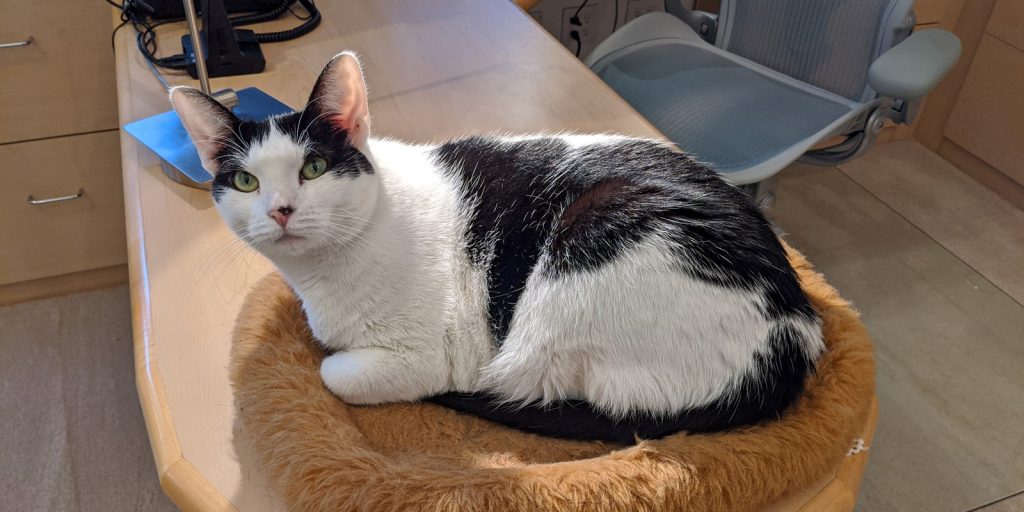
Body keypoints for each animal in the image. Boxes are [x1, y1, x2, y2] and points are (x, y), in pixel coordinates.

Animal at [167, 52, 823, 444]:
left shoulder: (422, 356)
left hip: (579, 265)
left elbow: (334, 370)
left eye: (314, 167)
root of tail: (795, 327)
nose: (280, 209)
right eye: (246, 182)